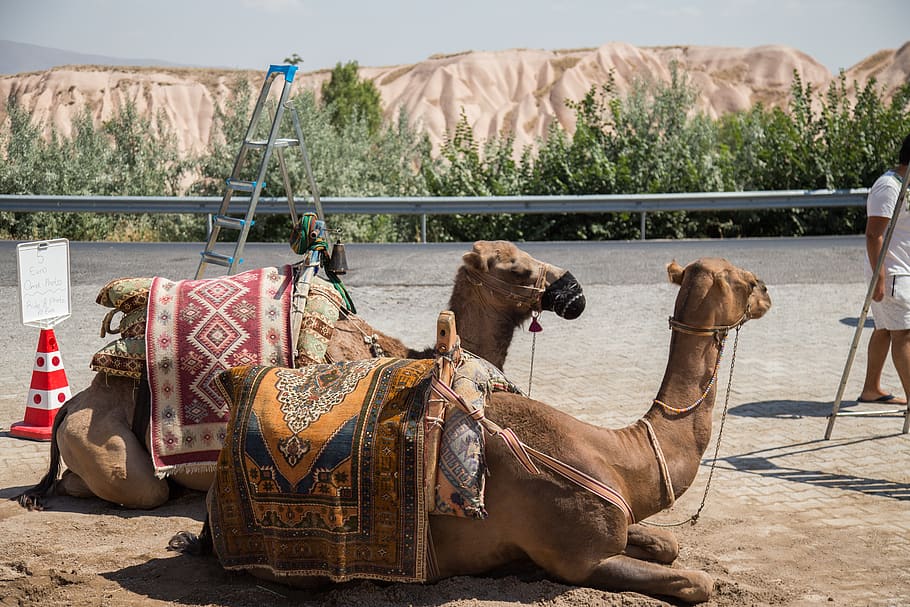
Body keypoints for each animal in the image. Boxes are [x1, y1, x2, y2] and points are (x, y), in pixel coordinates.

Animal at [172, 257, 771, 604]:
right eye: (744, 279)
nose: (767, 290)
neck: (622, 459)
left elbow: (668, 544)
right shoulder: (579, 556)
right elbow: (697, 581)